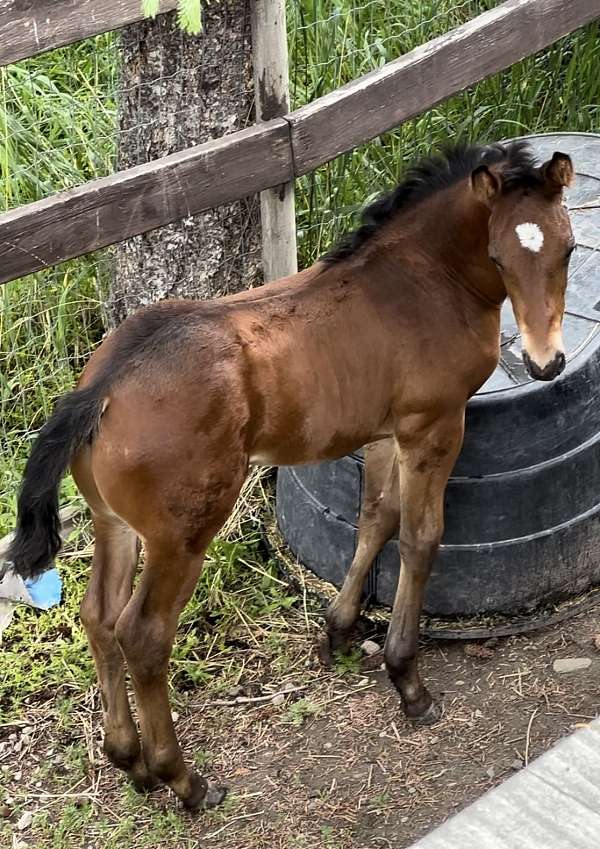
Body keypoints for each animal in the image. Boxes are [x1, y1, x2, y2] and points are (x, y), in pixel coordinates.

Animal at [5, 141, 576, 808]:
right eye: (497, 255)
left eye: (568, 248)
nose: (545, 364)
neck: (420, 279)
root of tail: (102, 385)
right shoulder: (432, 426)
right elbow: (420, 538)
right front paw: (409, 683)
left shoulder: (383, 433)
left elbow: (374, 520)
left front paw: (338, 632)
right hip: (182, 535)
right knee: (142, 635)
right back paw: (184, 779)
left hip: (110, 521)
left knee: (98, 615)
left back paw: (130, 762)